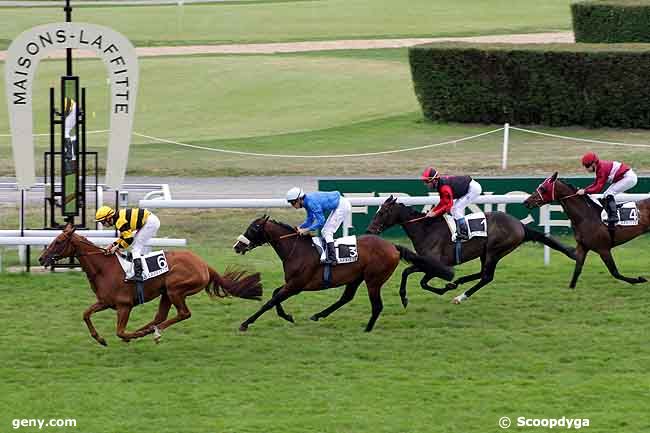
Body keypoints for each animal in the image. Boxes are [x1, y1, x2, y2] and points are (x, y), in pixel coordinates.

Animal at [37, 224, 260, 346]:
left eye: (58, 242)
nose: (41, 258)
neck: (104, 268)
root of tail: (203, 264)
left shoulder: (124, 306)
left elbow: (120, 331)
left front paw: (130, 336)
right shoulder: (105, 302)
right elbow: (85, 314)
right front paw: (100, 339)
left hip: (175, 289)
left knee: (183, 314)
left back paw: (154, 331)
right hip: (166, 293)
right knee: (160, 316)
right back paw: (150, 329)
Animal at [232, 215, 450, 330]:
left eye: (253, 229)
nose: (237, 246)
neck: (297, 250)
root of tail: (392, 247)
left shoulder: (297, 285)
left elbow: (271, 301)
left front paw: (246, 323)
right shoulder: (292, 283)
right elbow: (275, 295)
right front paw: (287, 316)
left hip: (373, 280)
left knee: (377, 305)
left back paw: (367, 329)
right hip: (356, 277)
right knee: (346, 297)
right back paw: (318, 315)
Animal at [368, 196, 576, 304]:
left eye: (383, 212)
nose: (370, 230)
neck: (426, 229)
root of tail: (520, 226)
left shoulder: (435, 264)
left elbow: (417, 278)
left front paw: (408, 297)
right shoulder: (427, 263)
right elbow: (411, 275)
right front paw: (446, 286)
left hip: (494, 250)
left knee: (486, 277)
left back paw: (460, 296)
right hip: (486, 253)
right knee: (483, 274)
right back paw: (458, 283)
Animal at [520, 171, 648, 286]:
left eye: (543, 188)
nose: (526, 202)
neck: (586, 216)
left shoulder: (603, 249)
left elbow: (615, 272)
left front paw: (639, 279)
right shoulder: (583, 247)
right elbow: (576, 271)